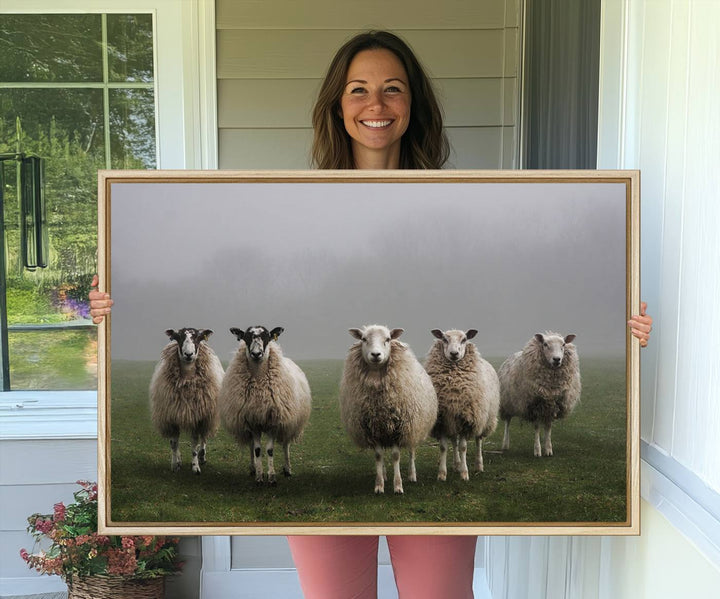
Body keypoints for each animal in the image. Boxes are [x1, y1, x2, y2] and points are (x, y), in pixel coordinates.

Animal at [148, 328, 222, 474]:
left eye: (198, 337)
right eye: (179, 337)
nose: (188, 354)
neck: (187, 378)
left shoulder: (198, 417)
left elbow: (194, 443)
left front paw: (195, 466)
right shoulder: (171, 416)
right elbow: (174, 443)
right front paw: (175, 464)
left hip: (208, 415)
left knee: (204, 437)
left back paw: (202, 456)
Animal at [218, 326, 310, 486]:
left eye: (267, 336)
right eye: (246, 337)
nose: (256, 354)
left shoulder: (274, 421)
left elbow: (269, 450)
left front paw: (272, 477)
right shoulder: (253, 421)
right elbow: (257, 450)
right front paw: (259, 477)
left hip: (289, 421)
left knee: (286, 444)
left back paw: (287, 469)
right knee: (251, 445)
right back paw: (253, 468)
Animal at [338, 326, 438, 494]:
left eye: (388, 339)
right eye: (364, 339)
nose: (376, 355)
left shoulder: (399, 427)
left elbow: (396, 456)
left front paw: (398, 486)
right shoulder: (372, 427)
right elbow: (378, 456)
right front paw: (379, 485)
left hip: (413, 425)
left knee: (411, 450)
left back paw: (412, 475)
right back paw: (384, 475)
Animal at [424, 330, 498, 480]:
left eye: (464, 339)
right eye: (444, 339)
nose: (454, 353)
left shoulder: (467, 419)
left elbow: (463, 447)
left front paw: (464, 473)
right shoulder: (443, 420)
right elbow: (443, 447)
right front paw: (442, 474)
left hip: (483, 419)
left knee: (478, 440)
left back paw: (478, 465)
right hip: (453, 422)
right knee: (454, 441)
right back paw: (456, 464)